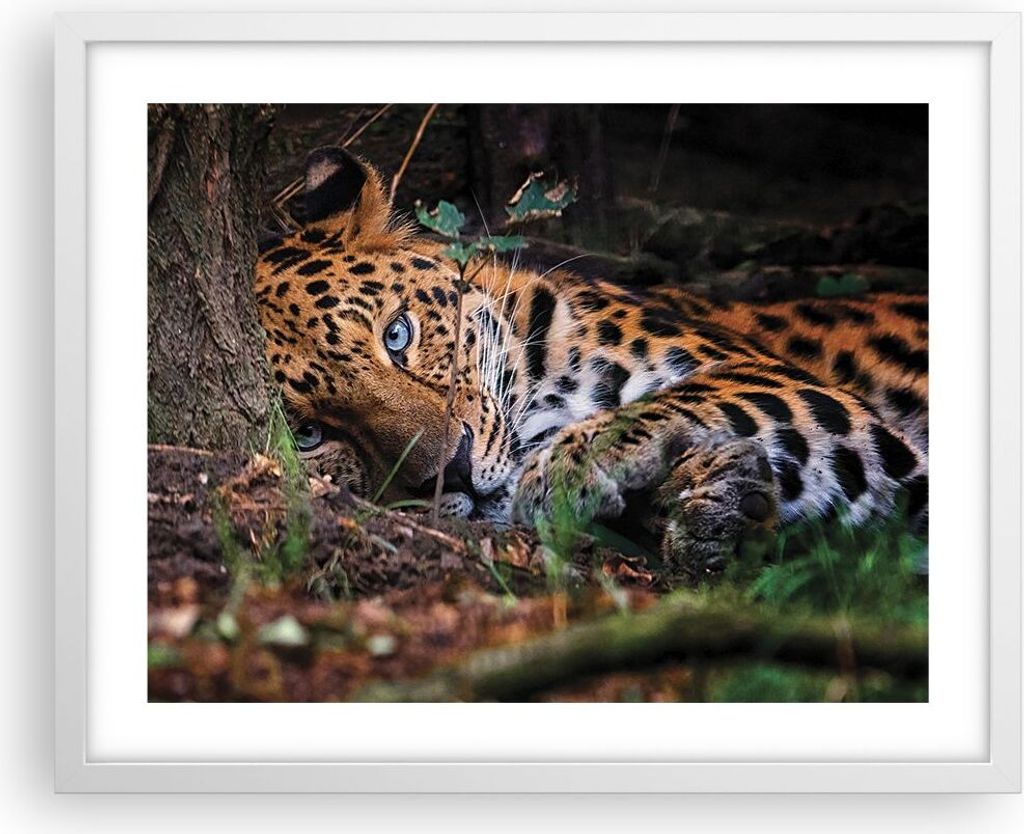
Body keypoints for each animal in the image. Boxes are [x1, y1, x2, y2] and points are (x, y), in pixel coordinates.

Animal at [253, 146, 928, 576]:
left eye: (397, 335)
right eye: (309, 435)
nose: (455, 473)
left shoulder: (781, 381)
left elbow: (686, 396)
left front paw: (570, 466)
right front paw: (722, 511)